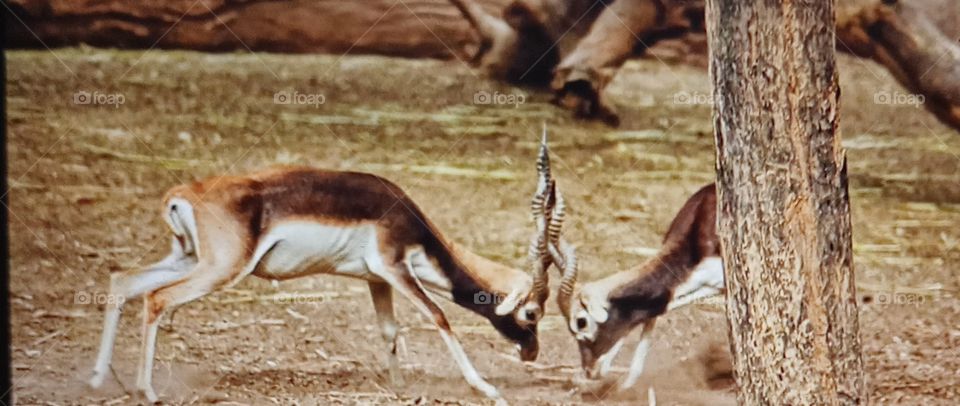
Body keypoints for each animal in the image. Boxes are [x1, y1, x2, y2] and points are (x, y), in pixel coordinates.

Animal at [87, 148, 565, 403]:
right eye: (532, 314)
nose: (531, 353)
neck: (407, 218)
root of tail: (183, 193)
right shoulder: (394, 267)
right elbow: (439, 317)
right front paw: (485, 387)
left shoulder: (377, 279)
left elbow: (389, 329)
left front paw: (399, 385)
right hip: (219, 270)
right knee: (156, 299)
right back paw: (147, 391)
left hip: (188, 259)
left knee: (122, 281)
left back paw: (95, 380)